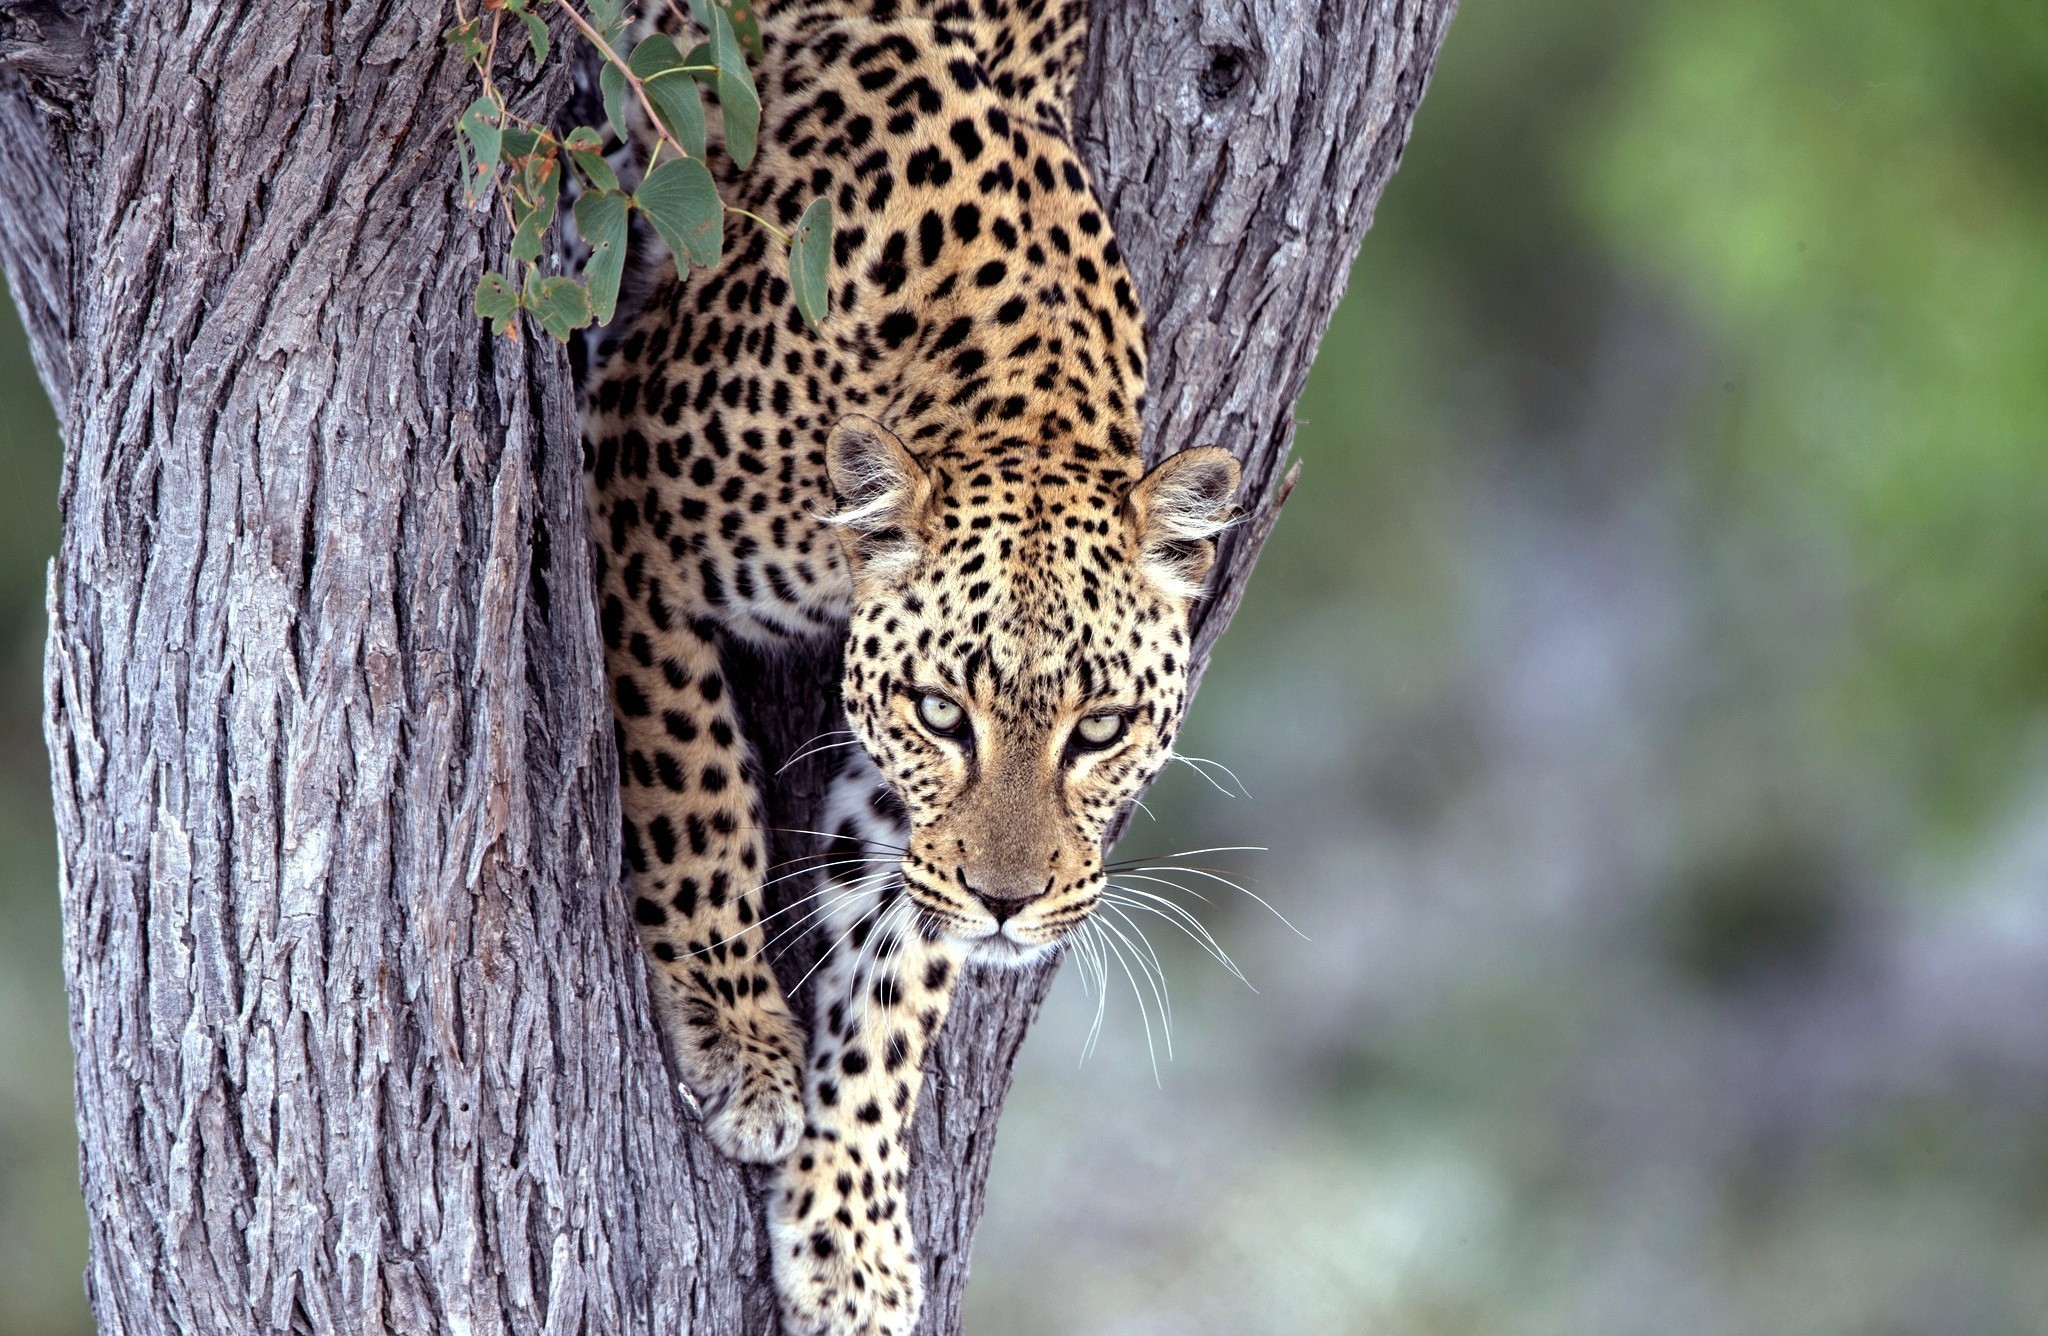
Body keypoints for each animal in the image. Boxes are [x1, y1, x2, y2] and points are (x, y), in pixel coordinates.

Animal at [582, 1, 1241, 1331]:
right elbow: (693, 785)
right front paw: (740, 1034)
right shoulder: (633, 493)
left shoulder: (908, 815)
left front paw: (850, 1229)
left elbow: (897, 960)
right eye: (943, 714)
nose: (1010, 903)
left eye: (1098, 729)